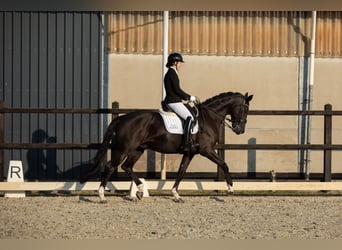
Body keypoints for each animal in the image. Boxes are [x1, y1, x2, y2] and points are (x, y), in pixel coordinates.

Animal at [81, 92, 251, 203]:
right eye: (244, 109)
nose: (240, 130)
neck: (209, 117)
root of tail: (122, 119)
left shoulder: (190, 153)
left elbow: (181, 171)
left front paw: (176, 194)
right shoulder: (206, 150)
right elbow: (224, 164)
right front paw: (230, 189)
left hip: (138, 150)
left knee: (126, 167)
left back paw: (140, 190)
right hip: (123, 149)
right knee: (111, 167)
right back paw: (102, 196)